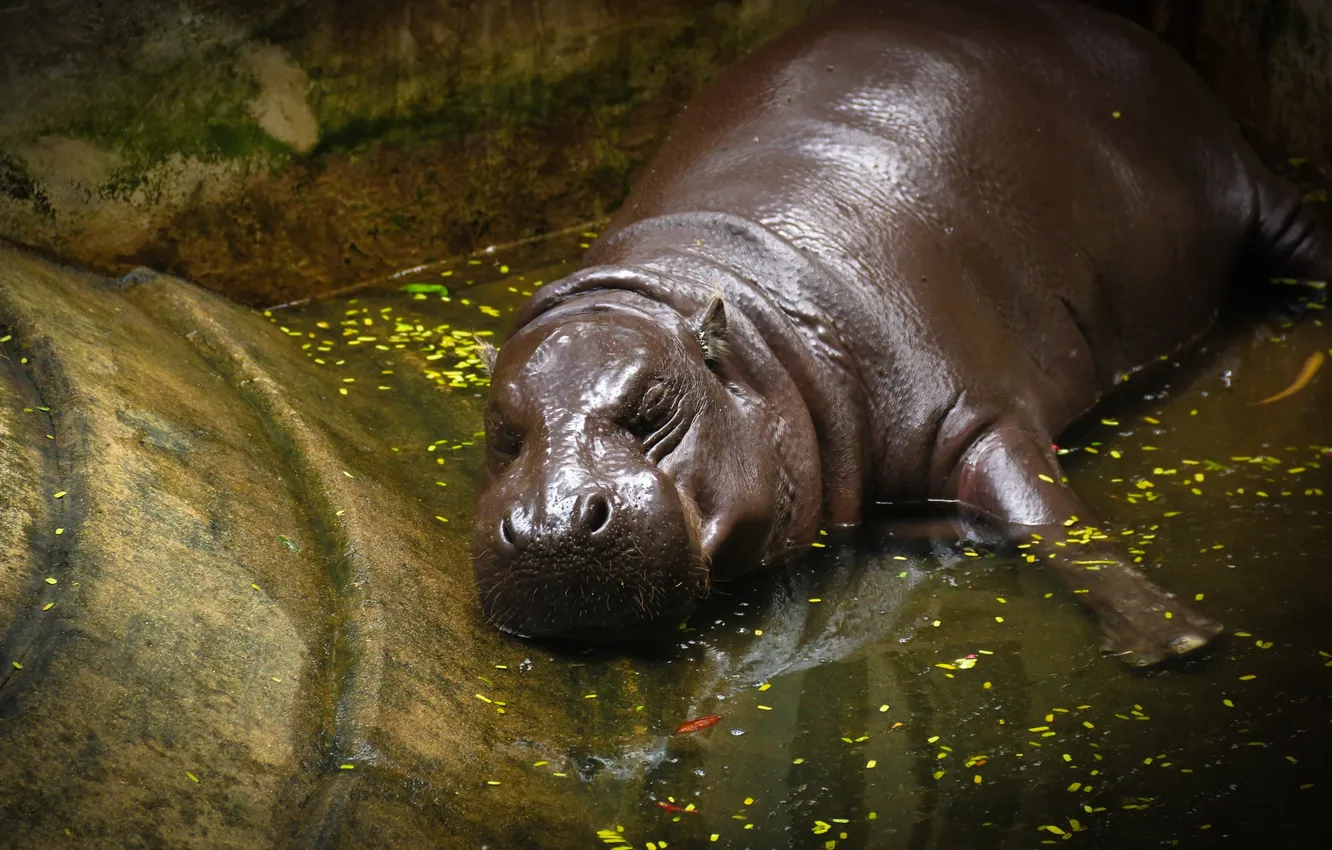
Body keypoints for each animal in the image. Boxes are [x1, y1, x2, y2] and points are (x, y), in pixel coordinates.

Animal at [471, 0, 1332, 665]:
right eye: (503, 432)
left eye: (654, 411)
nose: (550, 523)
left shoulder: (970, 412)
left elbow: (1051, 517)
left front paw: (1176, 639)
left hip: (1245, 190)